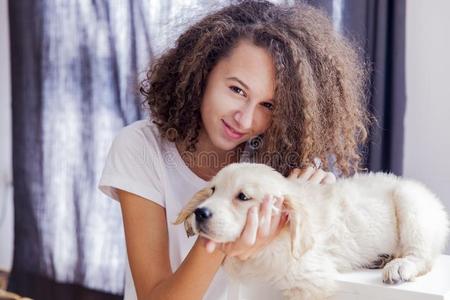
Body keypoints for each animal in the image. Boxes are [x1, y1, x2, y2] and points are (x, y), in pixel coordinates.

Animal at [174, 163, 448, 298]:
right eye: (212, 190)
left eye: (242, 197)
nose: (200, 213)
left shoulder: (309, 281)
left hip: (411, 202)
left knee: (421, 255)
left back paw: (399, 266)